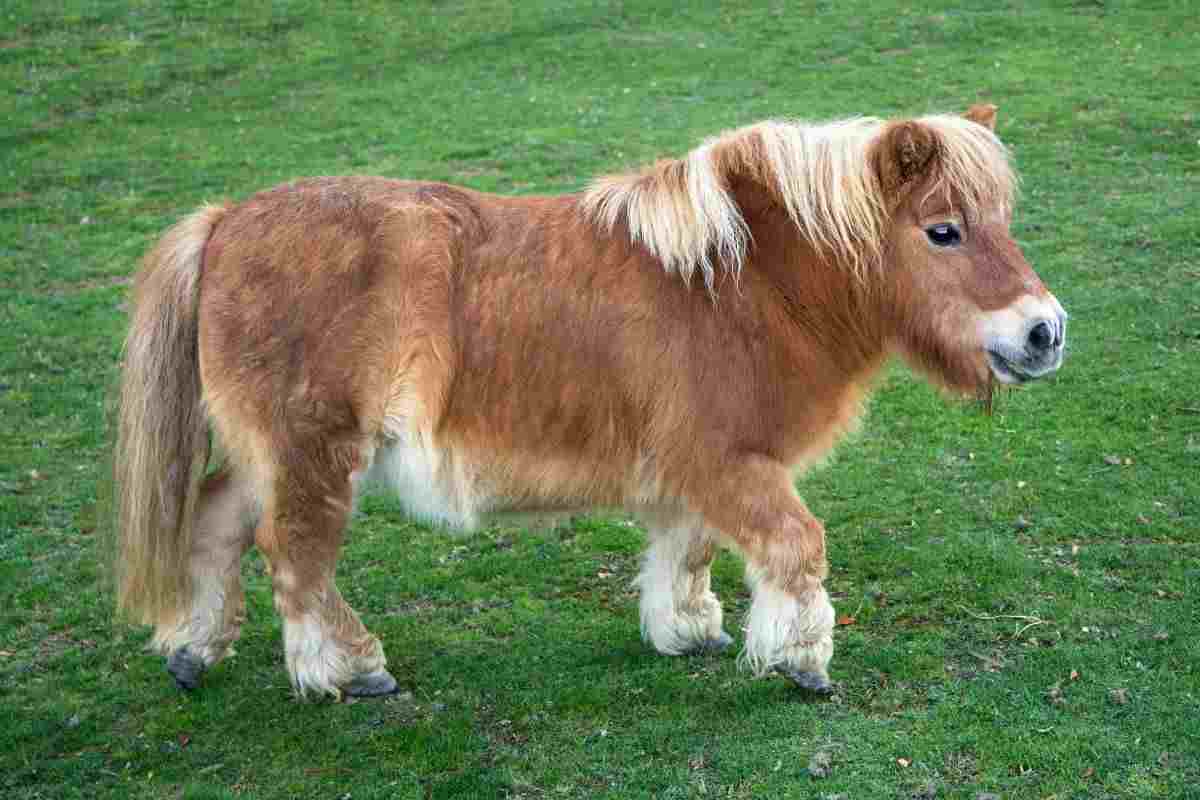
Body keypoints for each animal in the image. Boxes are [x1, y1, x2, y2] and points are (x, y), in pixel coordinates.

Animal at [112, 103, 1066, 699]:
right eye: (943, 231)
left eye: (1001, 222)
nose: (1045, 332)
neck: (744, 285)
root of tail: (224, 222)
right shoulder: (730, 461)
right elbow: (797, 547)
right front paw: (801, 661)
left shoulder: (696, 475)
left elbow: (688, 551)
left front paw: (689, 630)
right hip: (313, 453)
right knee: (296, 555)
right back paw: (348, 669)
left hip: (266, 456)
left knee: (215, 524)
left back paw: (194, 651)